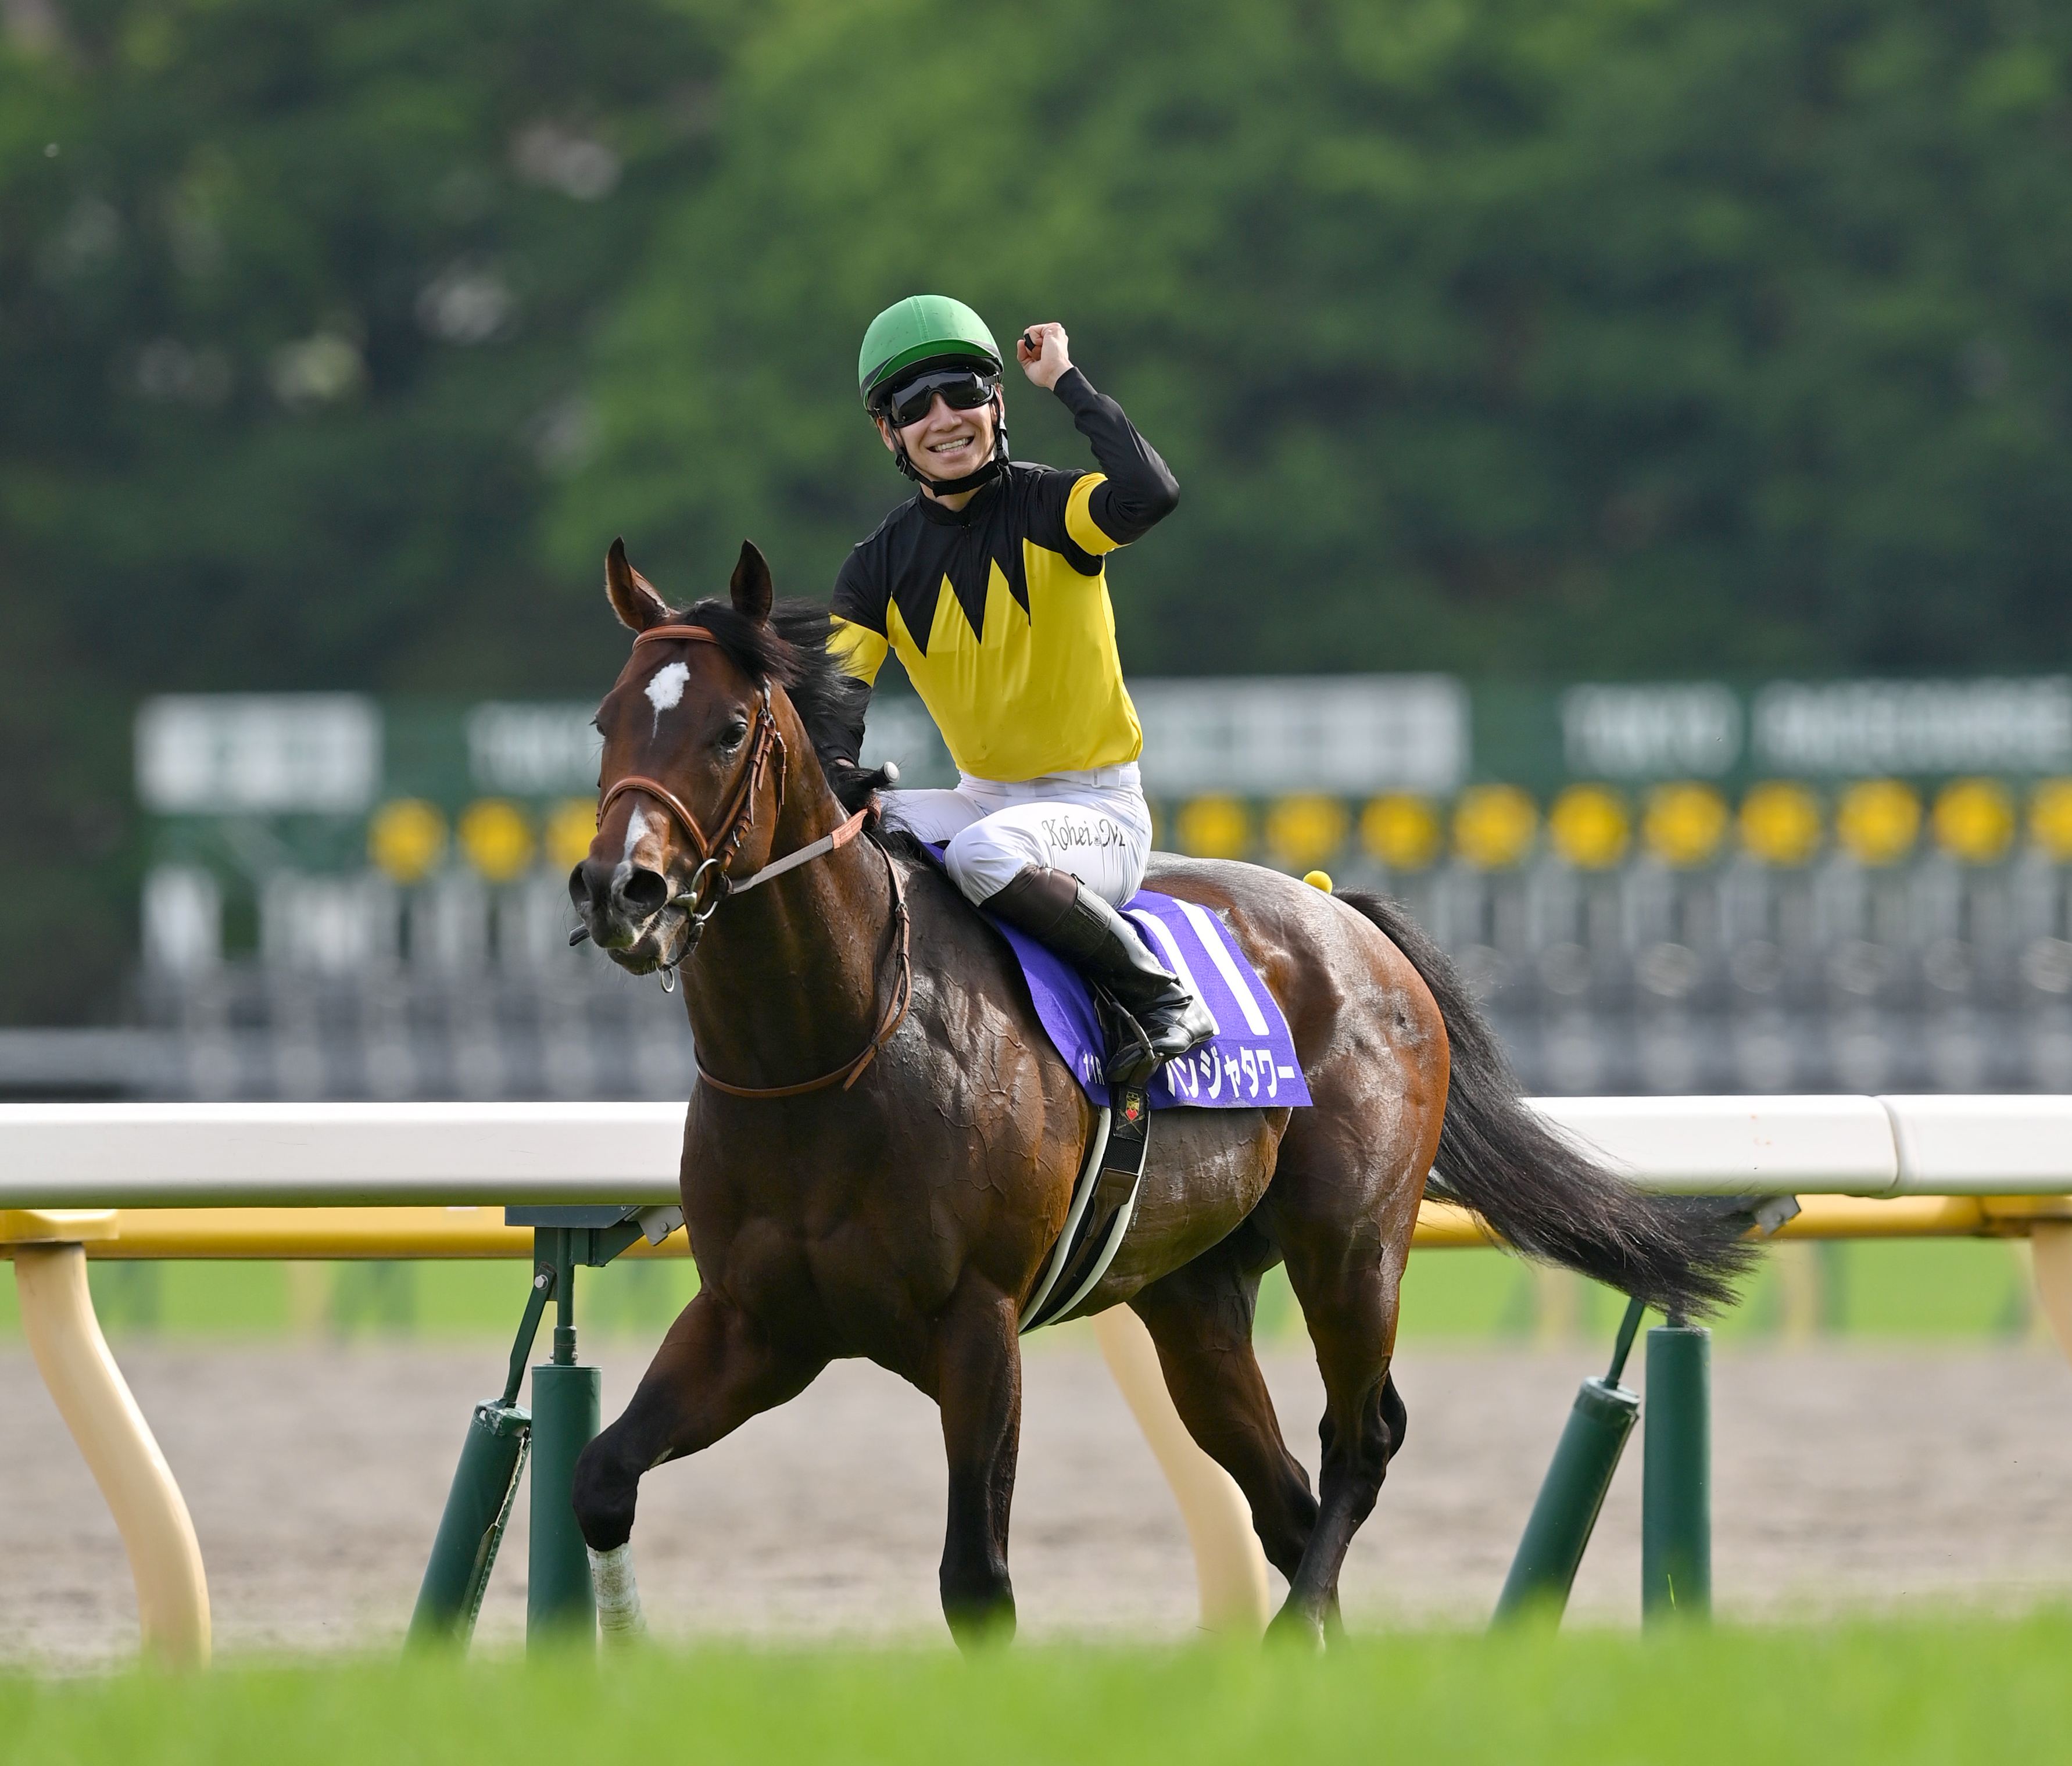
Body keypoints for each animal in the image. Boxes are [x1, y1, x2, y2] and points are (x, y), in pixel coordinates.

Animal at [565, 538, 1748, 1647]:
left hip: (1353, 1242)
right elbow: (602, 1478)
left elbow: (976, 1582)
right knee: (1284, 1494)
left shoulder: (979, 1324)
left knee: (1360, 1439)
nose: (623, 888)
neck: (832, 1048)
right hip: (1194, 1296)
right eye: (605, 720)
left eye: (728, 729)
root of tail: (1348, 916)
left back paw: (1296, 1630)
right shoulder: (756, 1321)